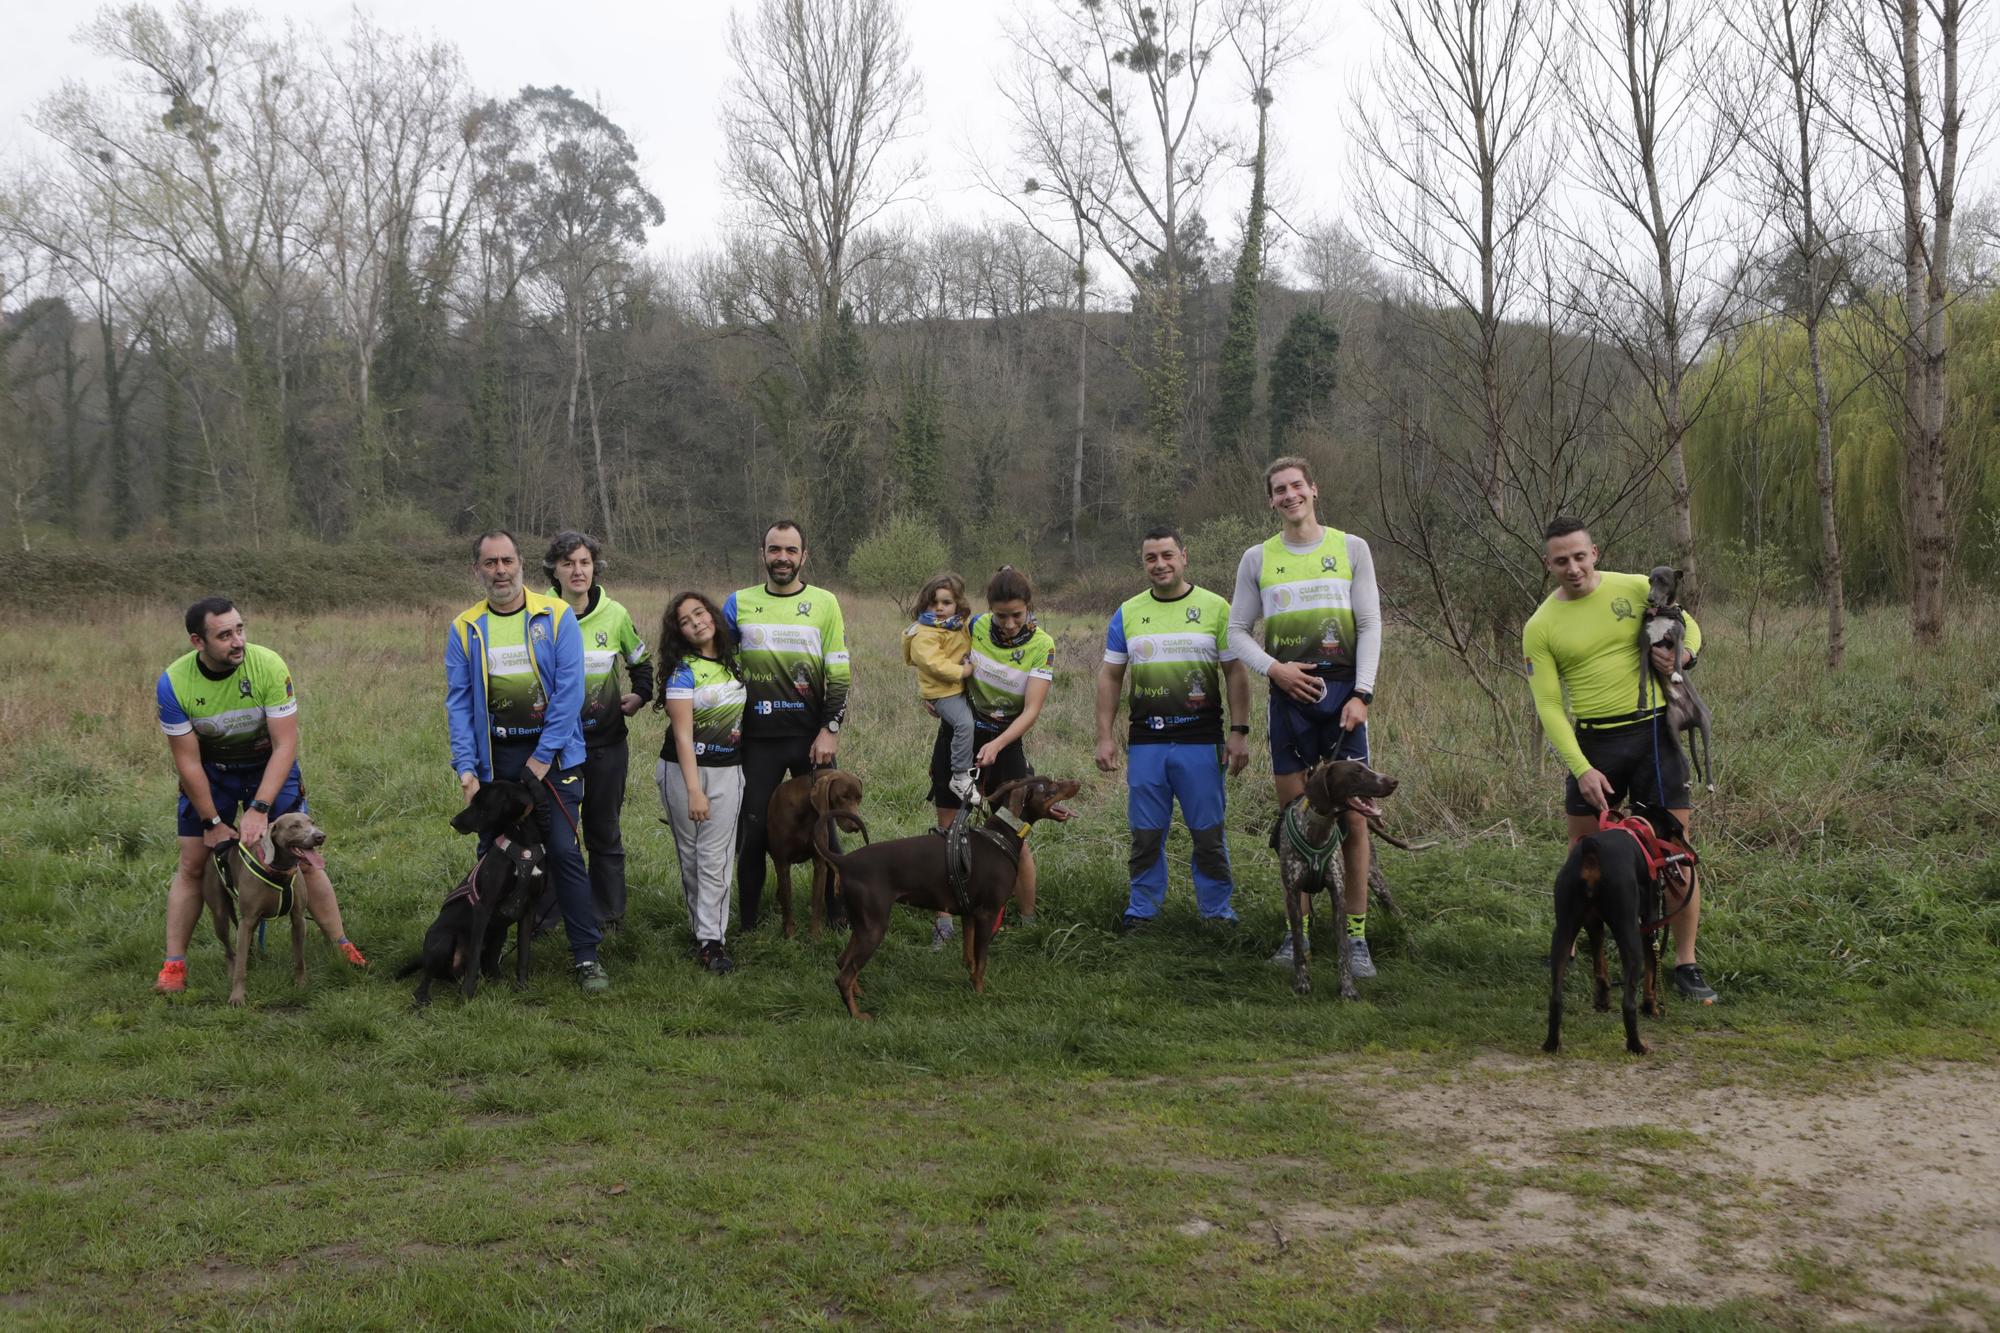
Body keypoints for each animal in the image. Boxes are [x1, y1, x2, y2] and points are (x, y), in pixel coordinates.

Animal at [199, 804, 328, 1000]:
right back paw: (231, 969)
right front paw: (237, 996)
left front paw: (301, 985)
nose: (320, 836)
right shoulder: (246, 920)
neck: (279, 872)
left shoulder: (298, 919)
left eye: (312, 822)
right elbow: (240, 969)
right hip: (220, 916)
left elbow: (299, 959)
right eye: (294, 826)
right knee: (229, 950)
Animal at [396, 772, 548, 1000]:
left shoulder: (529, 910)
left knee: (490, 963)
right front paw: (468, 994)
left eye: (481, 803)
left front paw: (522, 987)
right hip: (442, 941)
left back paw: (497, 981)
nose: (452, 822)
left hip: (497, 935)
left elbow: (524, 953)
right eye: (473, 800)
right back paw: (421, 998)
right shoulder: (484, 907)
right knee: (427, 975)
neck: (522, 845)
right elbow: (475, 958)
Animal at [760, 764, 864, 940]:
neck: (806, 811)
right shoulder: (782, 864)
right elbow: (788, 905)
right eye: (843, 796)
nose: (856, 826)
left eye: (859, 798)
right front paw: (790, 934)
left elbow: (817, 901)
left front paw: (815, 935)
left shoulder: (820, 863)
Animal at [808, 768, 1080, 1016]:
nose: (1077, 782)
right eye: (1051, 788)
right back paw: (858, 1015)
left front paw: (970, 983)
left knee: (843, 961)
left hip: (862, 924)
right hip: (874, 927)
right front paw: (980, 995)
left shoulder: (970, 914)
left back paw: (860, 993)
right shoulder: (987, 914)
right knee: (843, 975)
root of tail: (845, 862)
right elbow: (982, 962)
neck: (1002, 835)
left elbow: (970, 959)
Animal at [1280, 756, 1408, 996]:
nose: (1393, 781)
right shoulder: (1292, 894)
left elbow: (1343, 950)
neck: (1317, 831)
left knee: (1396, 911)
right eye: (1357, 771)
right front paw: (1302, 982)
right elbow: (1299, 947)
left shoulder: (1338, 895)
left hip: (1375, 877)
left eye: (1366, 766)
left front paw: (1347, 988)